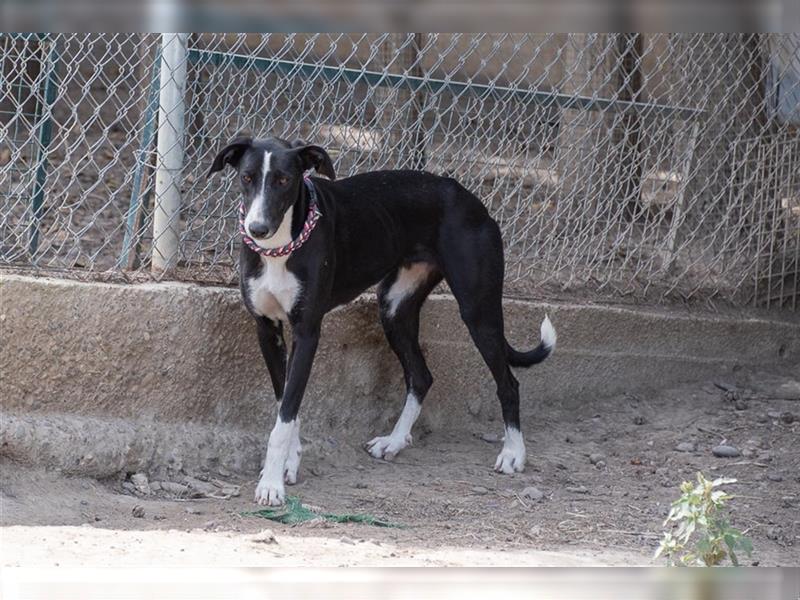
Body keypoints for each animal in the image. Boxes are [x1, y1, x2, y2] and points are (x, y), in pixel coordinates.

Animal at [208, 137, 556, 506]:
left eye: (284, 180)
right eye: (246, 177)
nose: (256, 229)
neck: (282, 247)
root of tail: (469, 197)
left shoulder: (307, 332)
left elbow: (286, 414)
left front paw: (271, 484)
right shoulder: (267, 330)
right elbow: (284, 403)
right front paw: (289, 463)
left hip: (478, 311)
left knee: (509, 384)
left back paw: (513, 452)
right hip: (394, 309)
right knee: (421, 376)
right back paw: (395, 440)